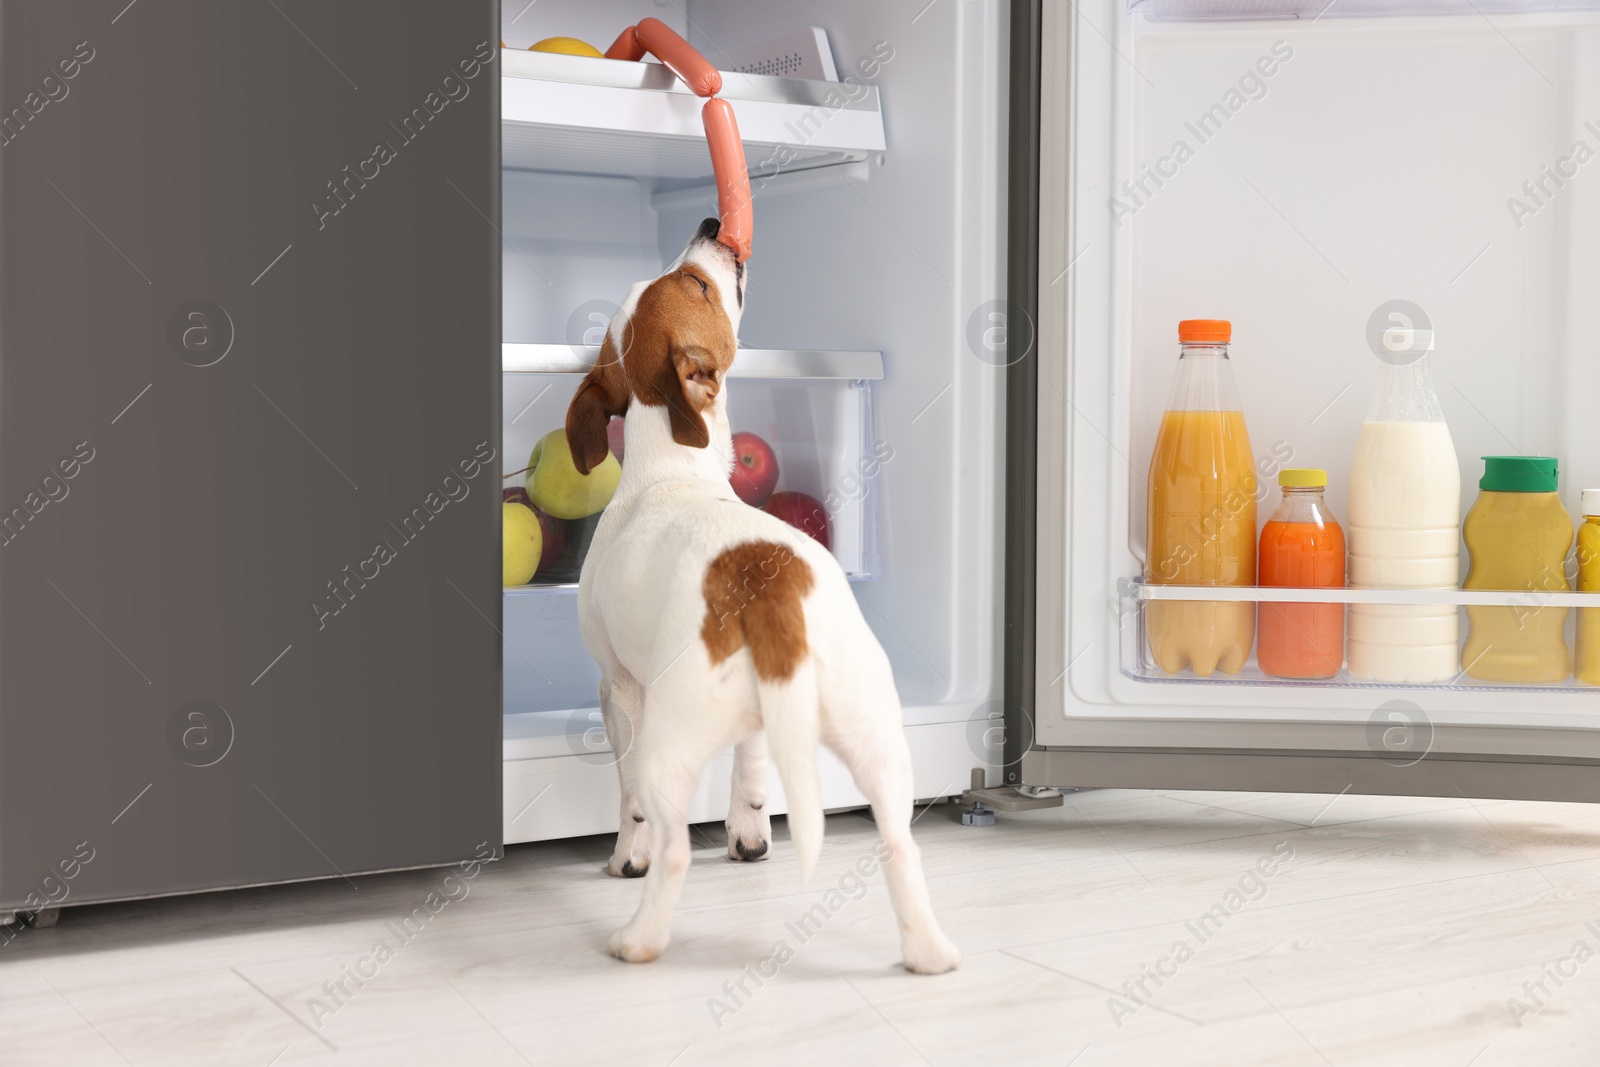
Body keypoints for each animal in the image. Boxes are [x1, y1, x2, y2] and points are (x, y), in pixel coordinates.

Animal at [566, 217, 960, 979]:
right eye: (695, 283)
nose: (711, 225)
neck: (672, 467)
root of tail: (765, 583)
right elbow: (750, 765)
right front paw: (749, 828)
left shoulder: (616, 689)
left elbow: (628, 803)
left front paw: (626, 856)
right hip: (877, 736)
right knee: (900, 843)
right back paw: (930, 952)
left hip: (669, 743)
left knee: (675, 847)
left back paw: (637, 939)